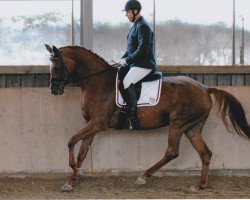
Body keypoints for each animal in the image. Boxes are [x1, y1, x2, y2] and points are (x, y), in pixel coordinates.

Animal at [45, 44, 250, 192]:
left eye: (57, 66)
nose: (53, 90)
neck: (97, 82)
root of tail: (205, 88)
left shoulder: (98, 123)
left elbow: (71, 141)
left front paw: (74, 170)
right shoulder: (91, 123)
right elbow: (82, 151)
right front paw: (72, 180)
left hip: (177, 124)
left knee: (172, 152)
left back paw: (143, 177)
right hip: (192, 127)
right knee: (205, 153)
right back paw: (200, 185)